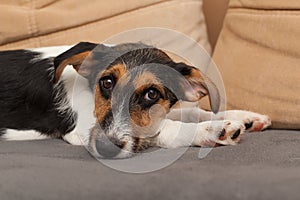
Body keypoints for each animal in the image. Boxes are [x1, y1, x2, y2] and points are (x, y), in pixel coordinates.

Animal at [0, 42, 272, 158]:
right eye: (107, 82)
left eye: (152, 94)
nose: (106, 149)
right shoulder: (80, 130)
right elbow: (165, 129)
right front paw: (212, 130)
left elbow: (191, 111)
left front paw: (245, 117)